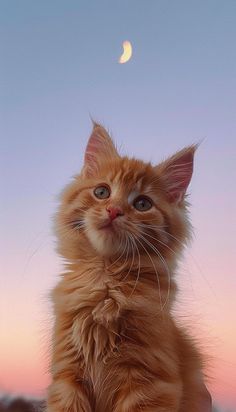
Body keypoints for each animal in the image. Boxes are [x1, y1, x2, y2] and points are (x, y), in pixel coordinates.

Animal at [46, 124, 212, 410]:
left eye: (142, 204)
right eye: (102, 192)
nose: (113, 210)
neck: (106, 283)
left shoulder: (150, 382)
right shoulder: (67, 376)